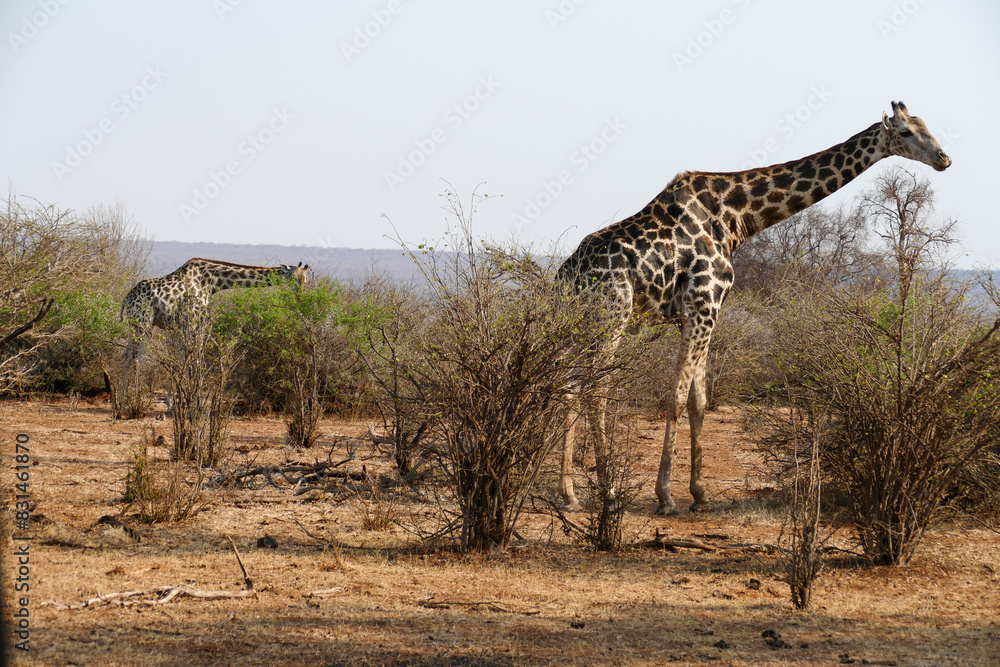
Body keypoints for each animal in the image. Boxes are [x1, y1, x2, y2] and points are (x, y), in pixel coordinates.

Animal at [118, 258, 310, 409]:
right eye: (293, 278)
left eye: (305, 280)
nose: (300, 297)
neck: (212, 281)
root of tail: (126, 299)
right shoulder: (193, 320)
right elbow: (192, 358)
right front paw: (189, 401)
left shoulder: (191, 322)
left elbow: (184, 359)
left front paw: (177, 401)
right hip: (144, 322)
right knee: (138, 356)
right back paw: (136, 400)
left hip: (133, 324)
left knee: (126, 355)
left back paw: (121, 402)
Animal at [557, 101, 951, 514]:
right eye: (906, 132)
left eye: (927, 125)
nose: (944, 159)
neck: (737, 218)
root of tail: (566, 274)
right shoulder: (704, 303)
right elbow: (677, 396)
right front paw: (666, 496)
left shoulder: (702, 311)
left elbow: (699, 400)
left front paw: (700, 494)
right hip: (612, 315)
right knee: (595, 388)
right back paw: (607, 492)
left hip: (581, 322)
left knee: (569, 386)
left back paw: (570, 494)